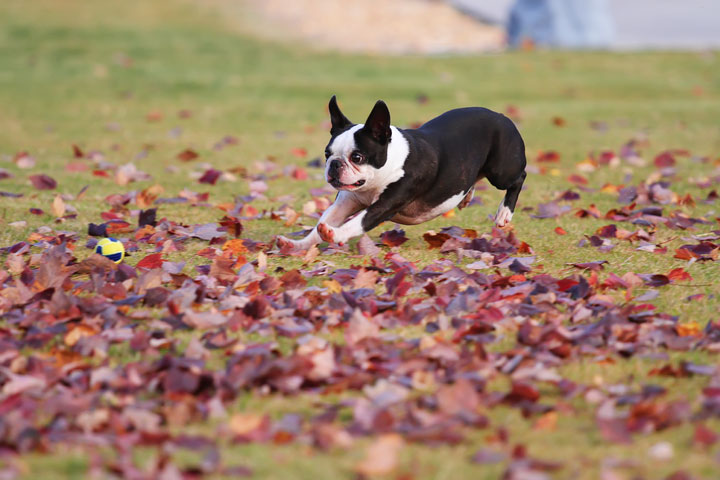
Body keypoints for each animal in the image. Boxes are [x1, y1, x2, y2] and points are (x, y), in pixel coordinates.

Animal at [274, 95, 524, 249]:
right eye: (327, 154)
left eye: (357, 157)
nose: (334, 164)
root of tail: (501, 115)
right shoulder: (345, 202)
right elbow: (322, 222)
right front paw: (298, 245)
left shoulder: (384, 206)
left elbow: (357, 223)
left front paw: (334, 235)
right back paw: (466, 196)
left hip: (501, 171)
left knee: (518, 178)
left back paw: (504, 213)